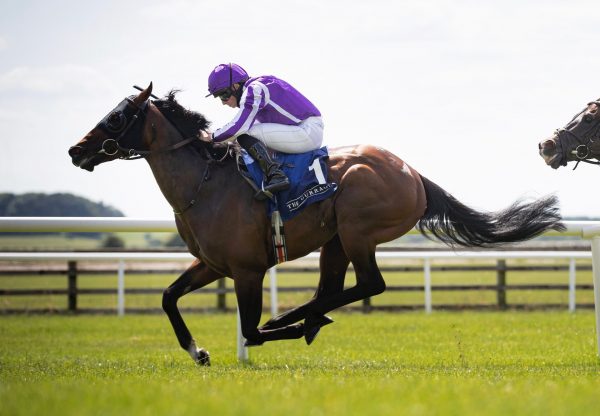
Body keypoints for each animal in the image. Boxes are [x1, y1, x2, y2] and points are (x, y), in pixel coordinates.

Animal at [68, 83, 564, 364]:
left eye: (118, 116)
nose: (76, 150)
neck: (205, 184)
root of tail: (412, 173)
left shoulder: (247, 270)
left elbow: (250, 330)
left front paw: (268, 330)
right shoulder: (213, 264)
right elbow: (169, 297)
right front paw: (199, 351)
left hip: (357, 228)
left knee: (370, 284)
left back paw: (296, 319)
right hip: (336, 240)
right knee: (333, 288)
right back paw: (306, 318)